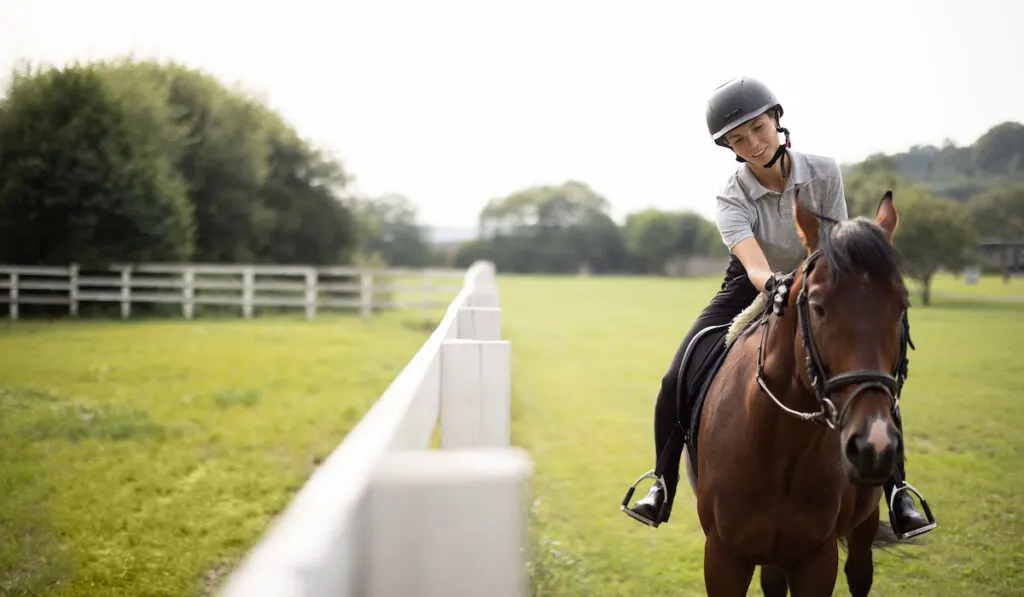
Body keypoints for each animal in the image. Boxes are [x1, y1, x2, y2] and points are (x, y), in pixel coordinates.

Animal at [692, 193, 917, 593]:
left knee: (859, 572)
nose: (873, 445)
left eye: (902, 304)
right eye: (817, 306)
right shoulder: (723, 556)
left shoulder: (816, 558)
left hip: (862, 525)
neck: (782, 443)